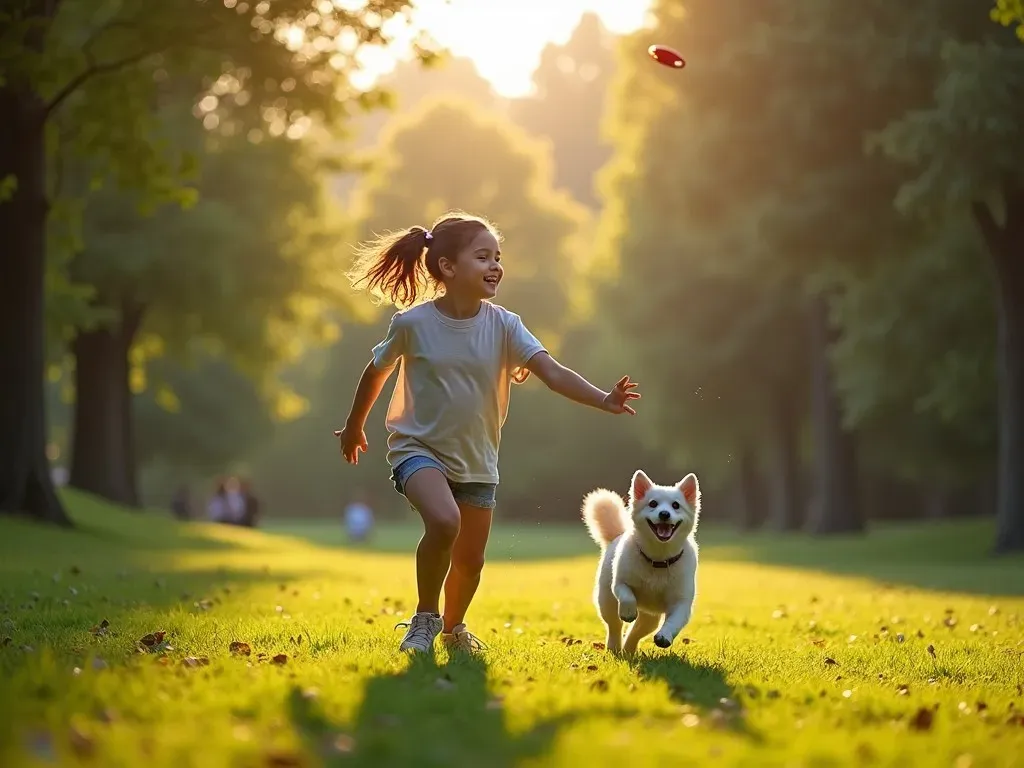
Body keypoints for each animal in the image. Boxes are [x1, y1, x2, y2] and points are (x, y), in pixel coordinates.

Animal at [581, 468, 700, 655]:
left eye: (676, 505)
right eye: (653, 503)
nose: (664, 514)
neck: (658, 558)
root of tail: (616, 536)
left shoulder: (681, 603)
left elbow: (674, 622)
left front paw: (664, 636)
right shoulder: (620, 584)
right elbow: (627, 596)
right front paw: (629, 612)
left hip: (650, 618)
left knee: (635, 633)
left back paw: (628, 650)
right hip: (607, 602)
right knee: (614, 626)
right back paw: (615, 647)